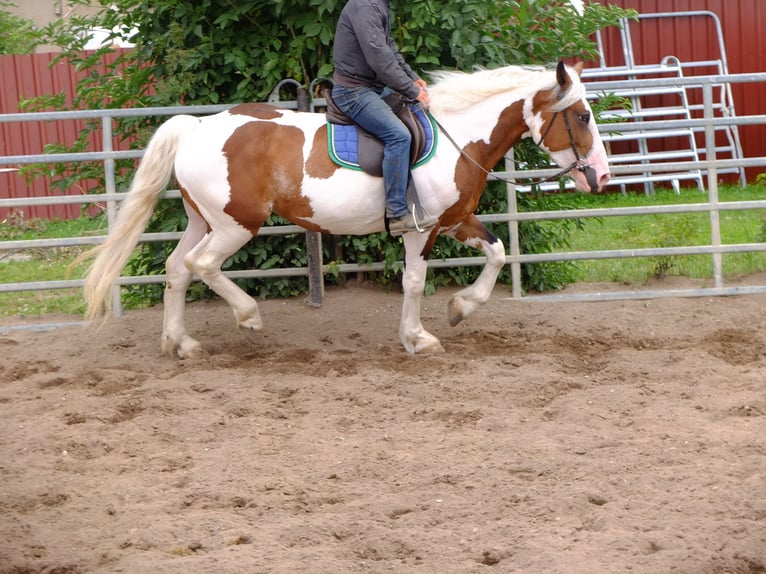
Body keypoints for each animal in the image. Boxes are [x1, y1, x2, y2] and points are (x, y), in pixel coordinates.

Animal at [81, 60, 612, 358]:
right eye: (582, 115)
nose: (602, 177)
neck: (457, 137)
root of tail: (195, 128)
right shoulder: (421, 230)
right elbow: (413, 282)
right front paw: (418, 338)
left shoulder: (456, 220)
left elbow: (498, 253)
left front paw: (461, 308)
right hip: (236, 225)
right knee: (201, 265)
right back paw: (248, 317)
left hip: (203, 220)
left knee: (176, 269)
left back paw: (181, 343)